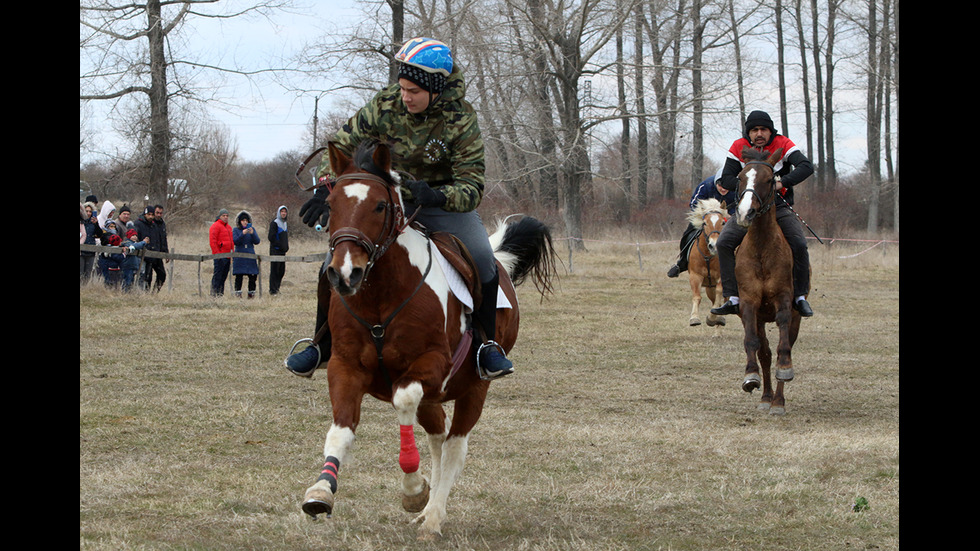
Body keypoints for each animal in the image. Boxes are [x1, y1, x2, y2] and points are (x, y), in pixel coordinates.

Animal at [298, 139, 560, 540]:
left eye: (380, 205)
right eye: (330, 204)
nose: (344, 273)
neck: (380, 296)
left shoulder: (431, 365)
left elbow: (403, 400)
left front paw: (412, 489)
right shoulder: (344, 366)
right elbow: (341, 432)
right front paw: (321, 492)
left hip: (473, 388)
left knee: (453, 446)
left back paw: (433, 516)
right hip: (435, 395)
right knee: (437, 439)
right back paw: (427, 509)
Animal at [688, 198, 728, 328]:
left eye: (723, 222)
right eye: (705, 223)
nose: (713, 245)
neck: (708, 256)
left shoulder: (722, 277)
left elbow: (720, 295)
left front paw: (712, 317)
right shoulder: (695, 275)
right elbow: (697, 296)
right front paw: (694, 318)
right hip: (710, 287)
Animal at [736, 147, 804, 414]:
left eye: (768, 180)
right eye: (740, 177)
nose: (745, 212)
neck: (762, 248)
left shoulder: (784, 300)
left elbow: (783, 347)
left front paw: (785, 369)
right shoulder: (749, 303)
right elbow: (752, 343)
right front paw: (750, 376)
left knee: (784, 346)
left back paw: (777, 401)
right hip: (760, 318)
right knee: (764, 352)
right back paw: (766, 397)